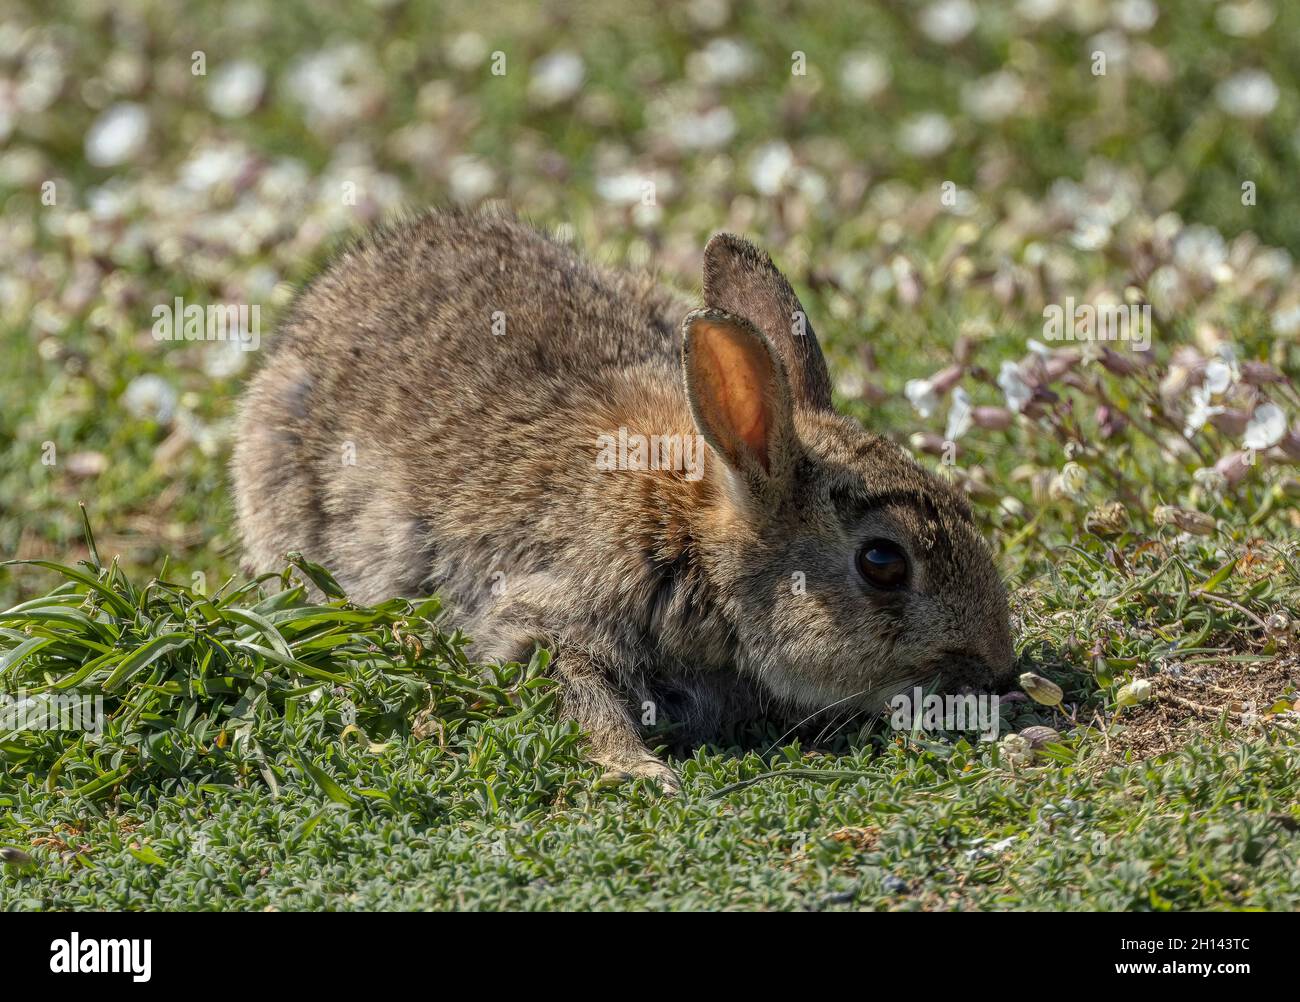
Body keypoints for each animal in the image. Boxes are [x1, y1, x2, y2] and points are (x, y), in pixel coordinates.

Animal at [232, 208, 1014, 792]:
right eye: (883, 563)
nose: (997, 669)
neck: (694, 539)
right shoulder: (550, 612)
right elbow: (574, 688)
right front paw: (638, 771)